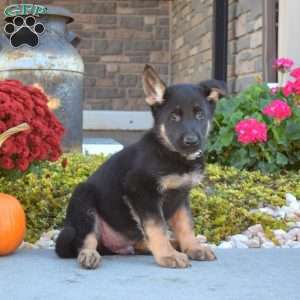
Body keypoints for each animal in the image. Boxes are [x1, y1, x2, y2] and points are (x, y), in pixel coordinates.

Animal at [55, 65, 226, 270]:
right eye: (174, 117)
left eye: (200, 115)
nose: (191, 142)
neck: (171, 153)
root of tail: (114, 247)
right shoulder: (142, 192)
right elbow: (157, 227)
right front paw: (168, 255)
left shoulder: (181, 196)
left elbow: (186, 225)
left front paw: (193, 247)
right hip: (83, 199)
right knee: (87, 237)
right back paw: (89, 254)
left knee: (140, 242)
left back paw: (175, 244)